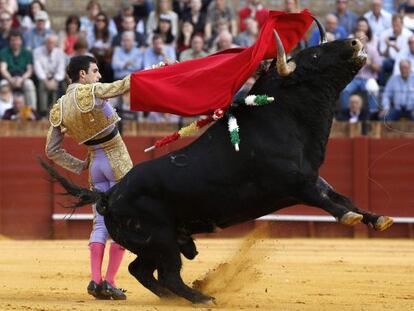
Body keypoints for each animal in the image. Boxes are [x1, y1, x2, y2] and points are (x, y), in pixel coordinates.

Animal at [40, 26, 392, 304]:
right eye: (316, 56)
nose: (355, 42)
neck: (279, 117)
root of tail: (108, 196)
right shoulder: (294, 183)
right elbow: (326, 201)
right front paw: (349, 218)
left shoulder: (312, 177)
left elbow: (342, 196)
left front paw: (377, 219)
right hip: (161, 240)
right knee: (165, 273)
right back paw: (201, 297)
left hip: (156, 242)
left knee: (141, 269)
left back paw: (172, 296)